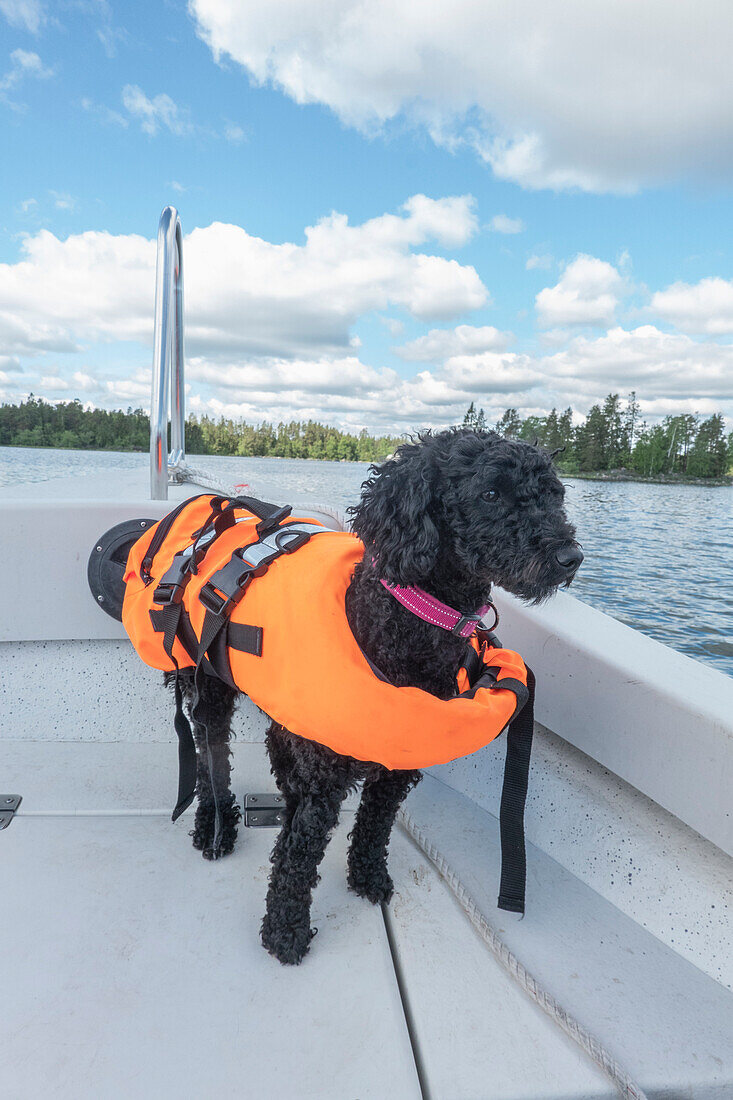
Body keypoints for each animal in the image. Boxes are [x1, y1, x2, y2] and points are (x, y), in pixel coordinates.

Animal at [172, 429, 581, 963]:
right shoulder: (325, 779)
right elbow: (299, 854)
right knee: (210, 757)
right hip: (210, 689)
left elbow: (374, 824)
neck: (404, 623)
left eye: (553, 494)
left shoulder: (398, 763)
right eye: (490, 493)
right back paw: (212, 825)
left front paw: (367, 876)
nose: (569, 557)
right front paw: (285, 931)